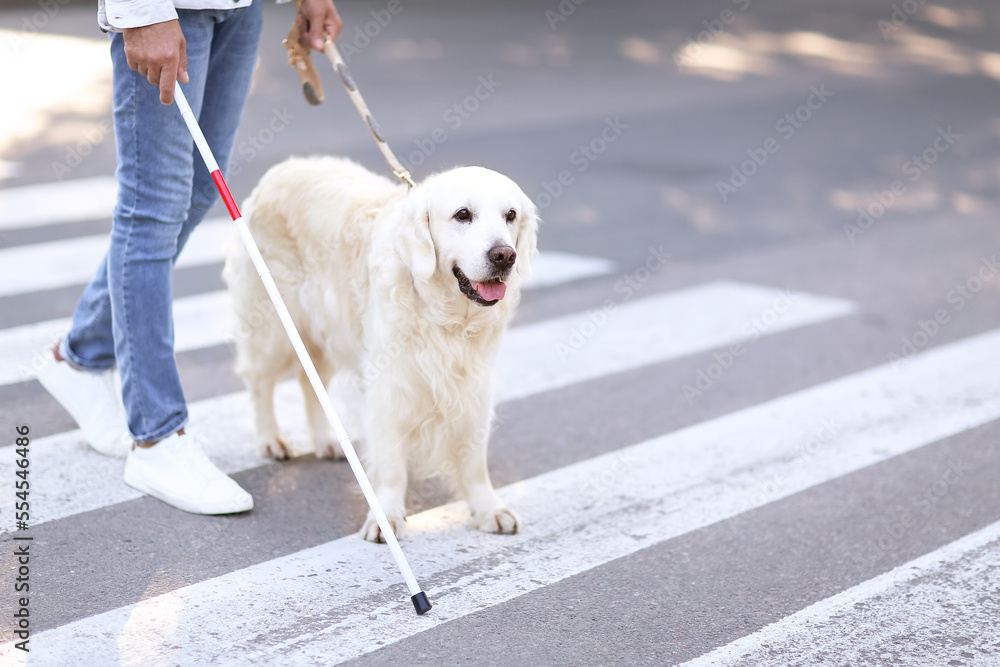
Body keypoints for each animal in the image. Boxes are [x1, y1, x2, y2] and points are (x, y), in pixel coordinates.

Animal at [225, 158, 540, 544]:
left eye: (511, 215)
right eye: (462, 215)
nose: (505, 255)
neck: (443, 314)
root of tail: (283, 168)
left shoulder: (474, 388)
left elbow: (473, 460)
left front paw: (487, 508)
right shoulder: (390, 388)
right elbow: (391, 464)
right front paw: (387, 517)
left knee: (309, 382)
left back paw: (326, 441)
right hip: (273, 327)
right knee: (260, 382)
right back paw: (271, 439)